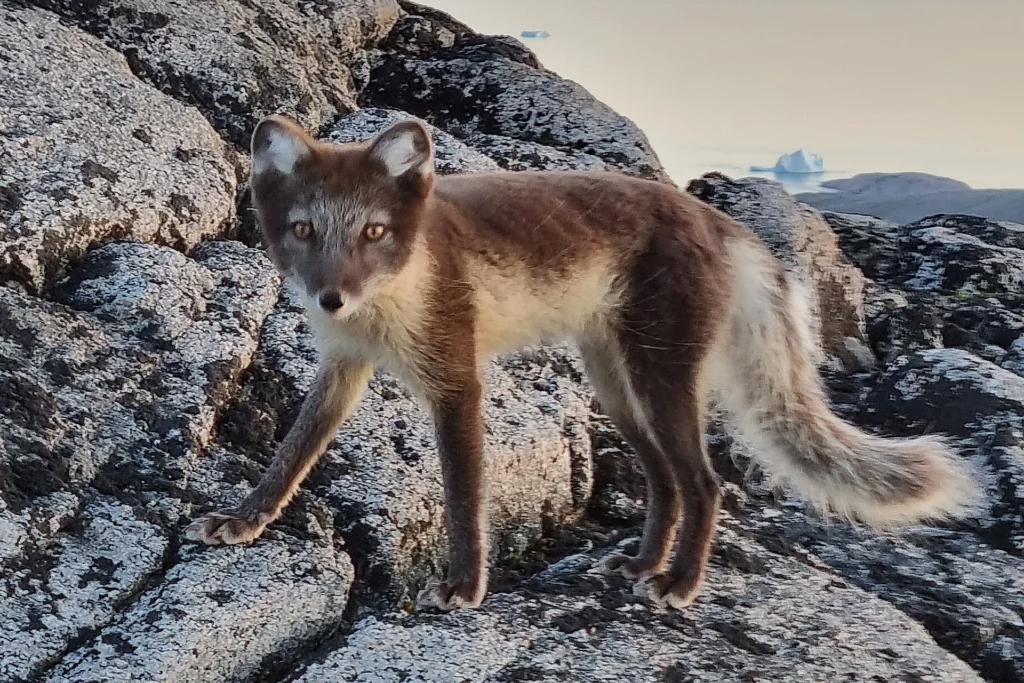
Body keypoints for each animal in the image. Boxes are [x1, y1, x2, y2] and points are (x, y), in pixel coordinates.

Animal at [185, 114, 976, 611]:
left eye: (374, 232)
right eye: (303, 230)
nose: (331, 297)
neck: (392, 297)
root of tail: (719, 221)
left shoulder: (456, 378)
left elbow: (464, 493)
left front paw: (465, 586)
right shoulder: (343, 368)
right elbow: (291, 455)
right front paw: (245, 521)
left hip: (660, 377)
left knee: (706, 482)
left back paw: (678, 584)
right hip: (616, 385)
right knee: (667, 481)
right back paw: (642, 565)